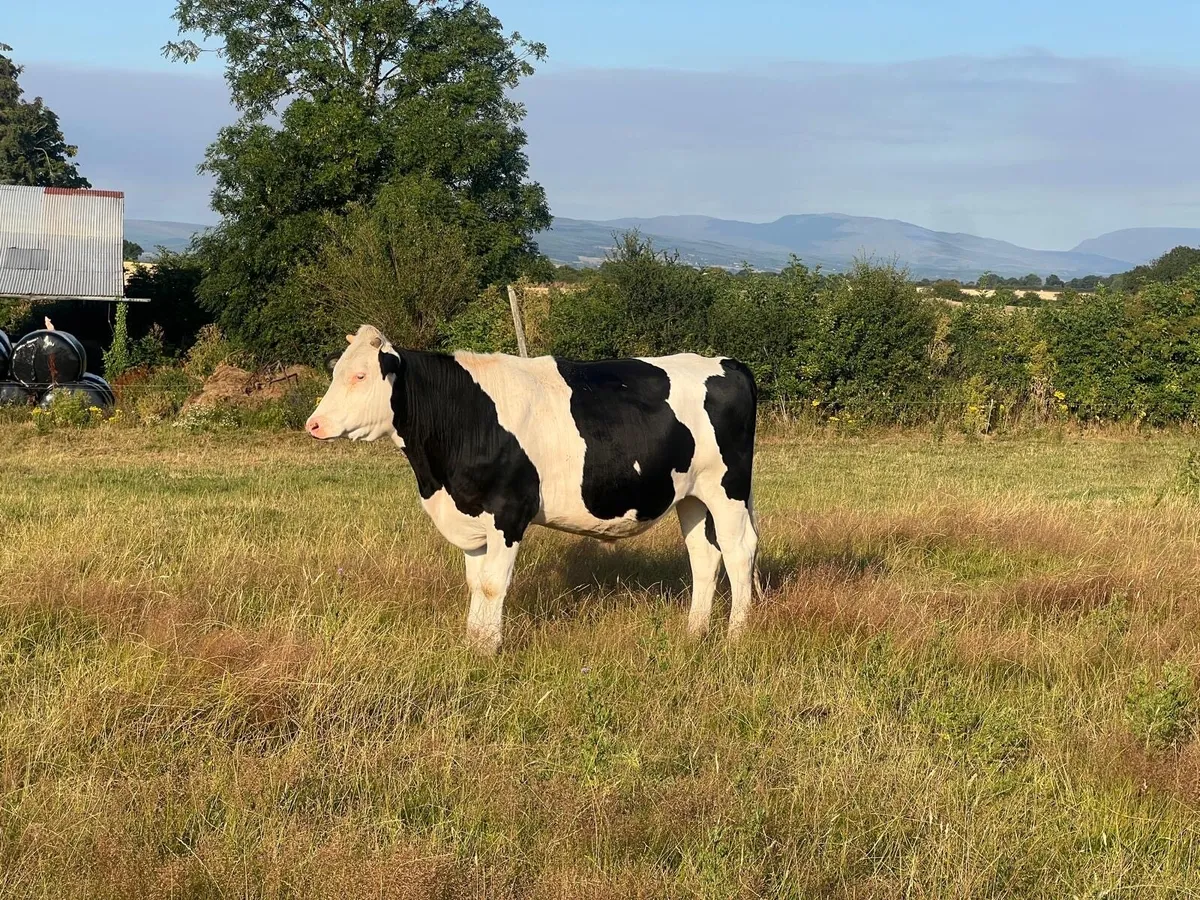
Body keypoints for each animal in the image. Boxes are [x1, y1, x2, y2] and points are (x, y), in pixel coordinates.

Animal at [306, 324, 760, 654]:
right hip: (691, 495)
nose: (314, 424)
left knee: (739, 551)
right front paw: (474, 644)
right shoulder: (471, 514)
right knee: (704, 555)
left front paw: (489, 652)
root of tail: (727, 362)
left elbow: (493, 584)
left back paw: (736, 635)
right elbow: (476, 582)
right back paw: (694, 632)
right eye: (335, 372)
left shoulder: (509, 511)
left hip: (728, 487)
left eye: (360, 375)